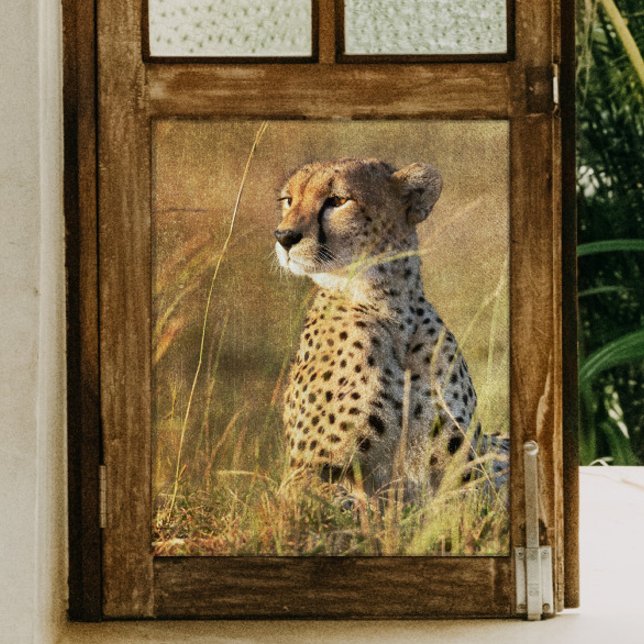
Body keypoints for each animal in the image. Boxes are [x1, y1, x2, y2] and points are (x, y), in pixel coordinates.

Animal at [274, 158, 508, 501]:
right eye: (288, 200)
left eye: (337, 201)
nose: (284, 236)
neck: (390, 307)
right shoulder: (303, 472)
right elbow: (346, 501)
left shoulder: (467, 469)